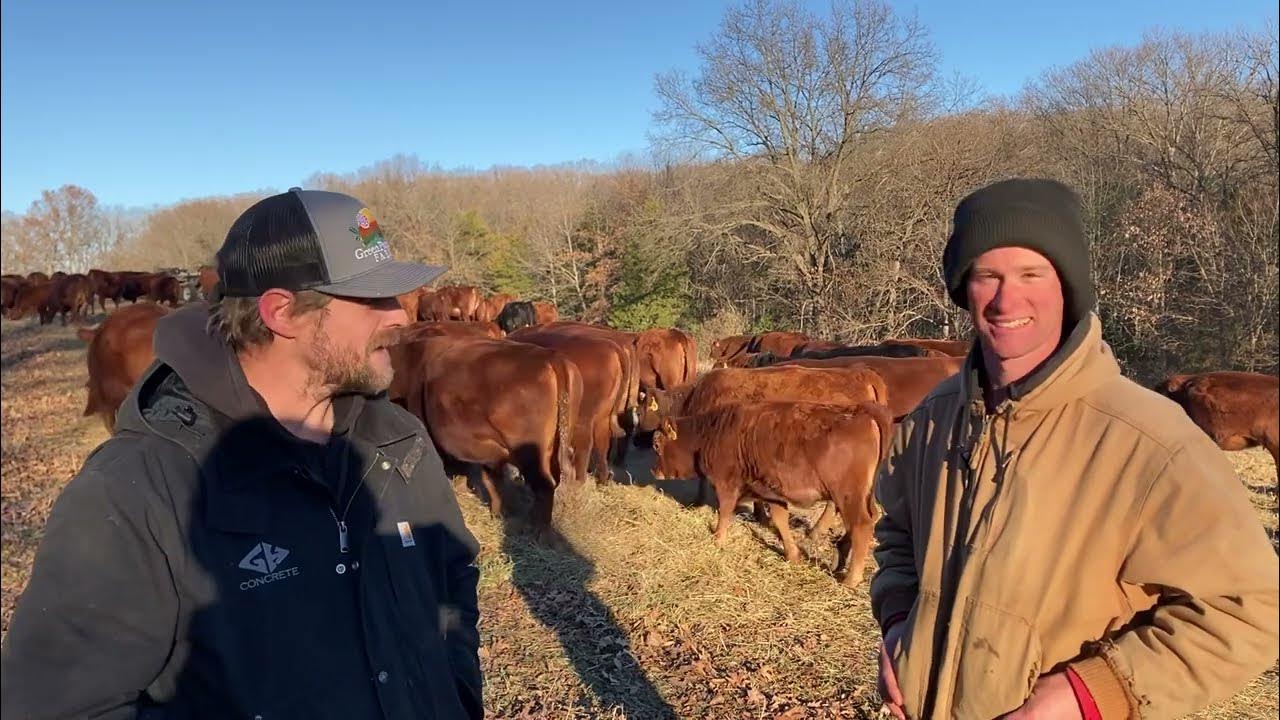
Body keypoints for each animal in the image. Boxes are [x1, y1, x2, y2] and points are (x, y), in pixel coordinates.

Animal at [652, 401, 892, 587]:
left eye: (656, 445)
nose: (655, 471)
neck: (712, 432)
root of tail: (862, 412)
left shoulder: (726, 485)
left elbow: (725, 513)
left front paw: (718, 539)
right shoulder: (771, 492)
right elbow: (780, 520)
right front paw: (793, 555)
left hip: (847, 495)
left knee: (861, 525)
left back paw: (851, 579)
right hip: (860, 497)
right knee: (866, 520)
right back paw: (840, 558)